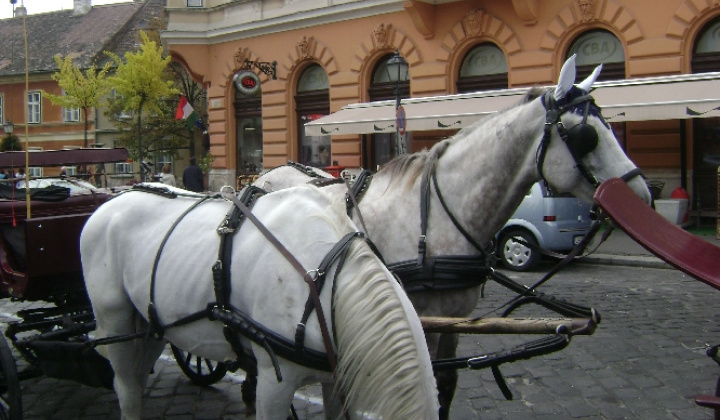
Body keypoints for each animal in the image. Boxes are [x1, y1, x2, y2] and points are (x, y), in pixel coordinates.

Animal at [79, 185, 438, 420]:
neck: (324, 281)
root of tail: (113, 200)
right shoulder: (273, 382)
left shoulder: (337, 379)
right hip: (115, 320)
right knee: (126, 387)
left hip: (153, 324)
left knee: (138, 375)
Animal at [256, 54, 656, 418]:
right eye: (586, 137)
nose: (643, 197)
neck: (438, 215)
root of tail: (263, 176)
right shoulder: (426, 319)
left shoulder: (455, 320)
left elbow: (446, 385)